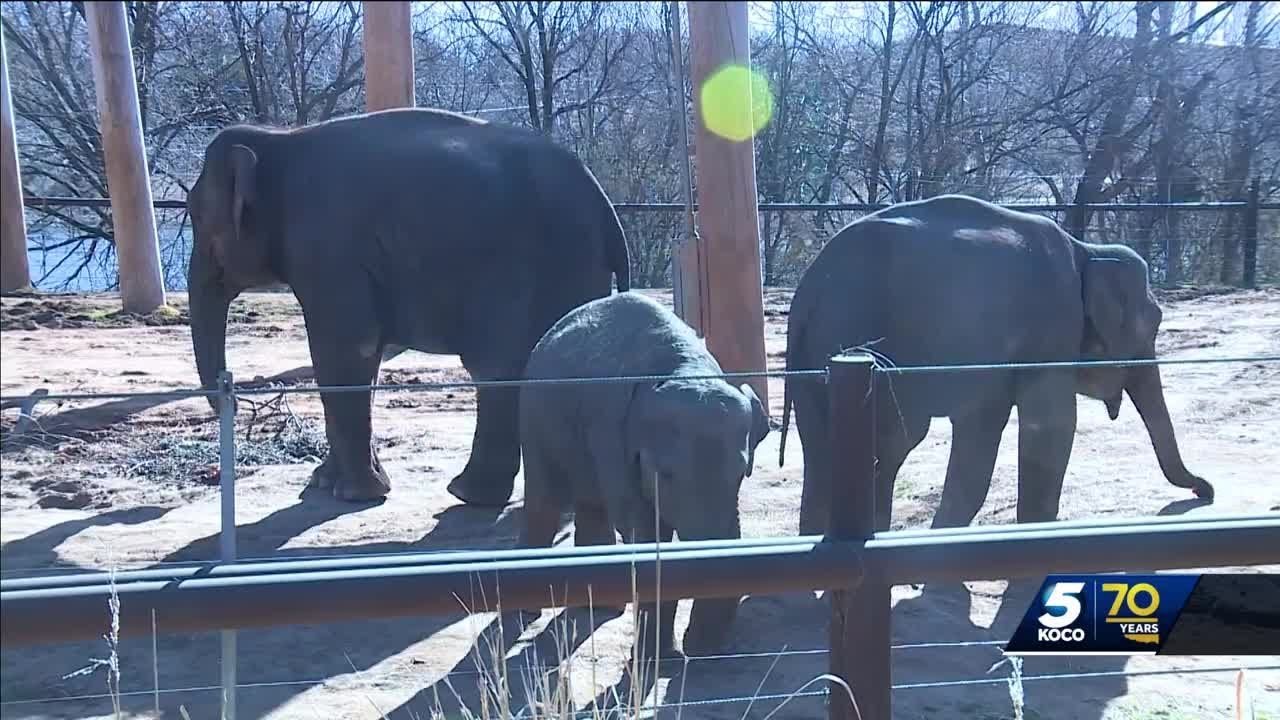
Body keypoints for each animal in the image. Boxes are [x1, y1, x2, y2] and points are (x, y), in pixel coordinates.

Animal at [186, 107, 630, 505]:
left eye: (197, 219)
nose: (236, 404)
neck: (278, 139)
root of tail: (606, 206)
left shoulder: (329, 250)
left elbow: (347, 350)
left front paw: (355, 495)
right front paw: (323, 484)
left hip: (542, 263)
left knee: (499, 368)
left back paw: (468, 494)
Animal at [517, 292, 771, 657]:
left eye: (741, 473)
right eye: (664, 474)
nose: (697, 648)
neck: (682, 368)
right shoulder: (610, 429)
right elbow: (641, 525)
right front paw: (660, 659)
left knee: (591, 503)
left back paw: (604, 606)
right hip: (534, 417)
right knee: (545, 499)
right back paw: (528, 611)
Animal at [780, 194, 1213, 535]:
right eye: (1154, 323)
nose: (1204, 491)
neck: (1087, 251)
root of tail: (808, 289)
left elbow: (981, 429)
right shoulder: (1051, 326)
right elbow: (1052, 423)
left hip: (814, 357)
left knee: (827, 452)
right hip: (865, 337)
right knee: (891, 442)